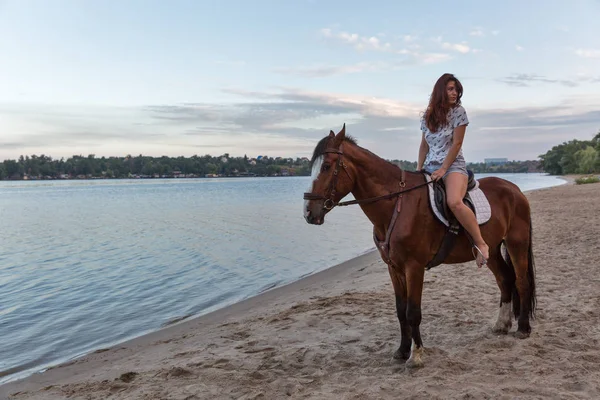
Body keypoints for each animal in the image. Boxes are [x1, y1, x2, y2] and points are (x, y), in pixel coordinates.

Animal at [302, 124, 536, 368]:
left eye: (327, 166)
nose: (309, 212)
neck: (396, 204)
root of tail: (514, 189)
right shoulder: (394, 268)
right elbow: (400, 311)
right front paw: (402, 350)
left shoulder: (413, 267)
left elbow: (413, 311)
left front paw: (416, 355)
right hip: (491, 250)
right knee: (505, 279)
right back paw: (502, 324)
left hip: (516, 243)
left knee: (521, 281)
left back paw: (523, 328)